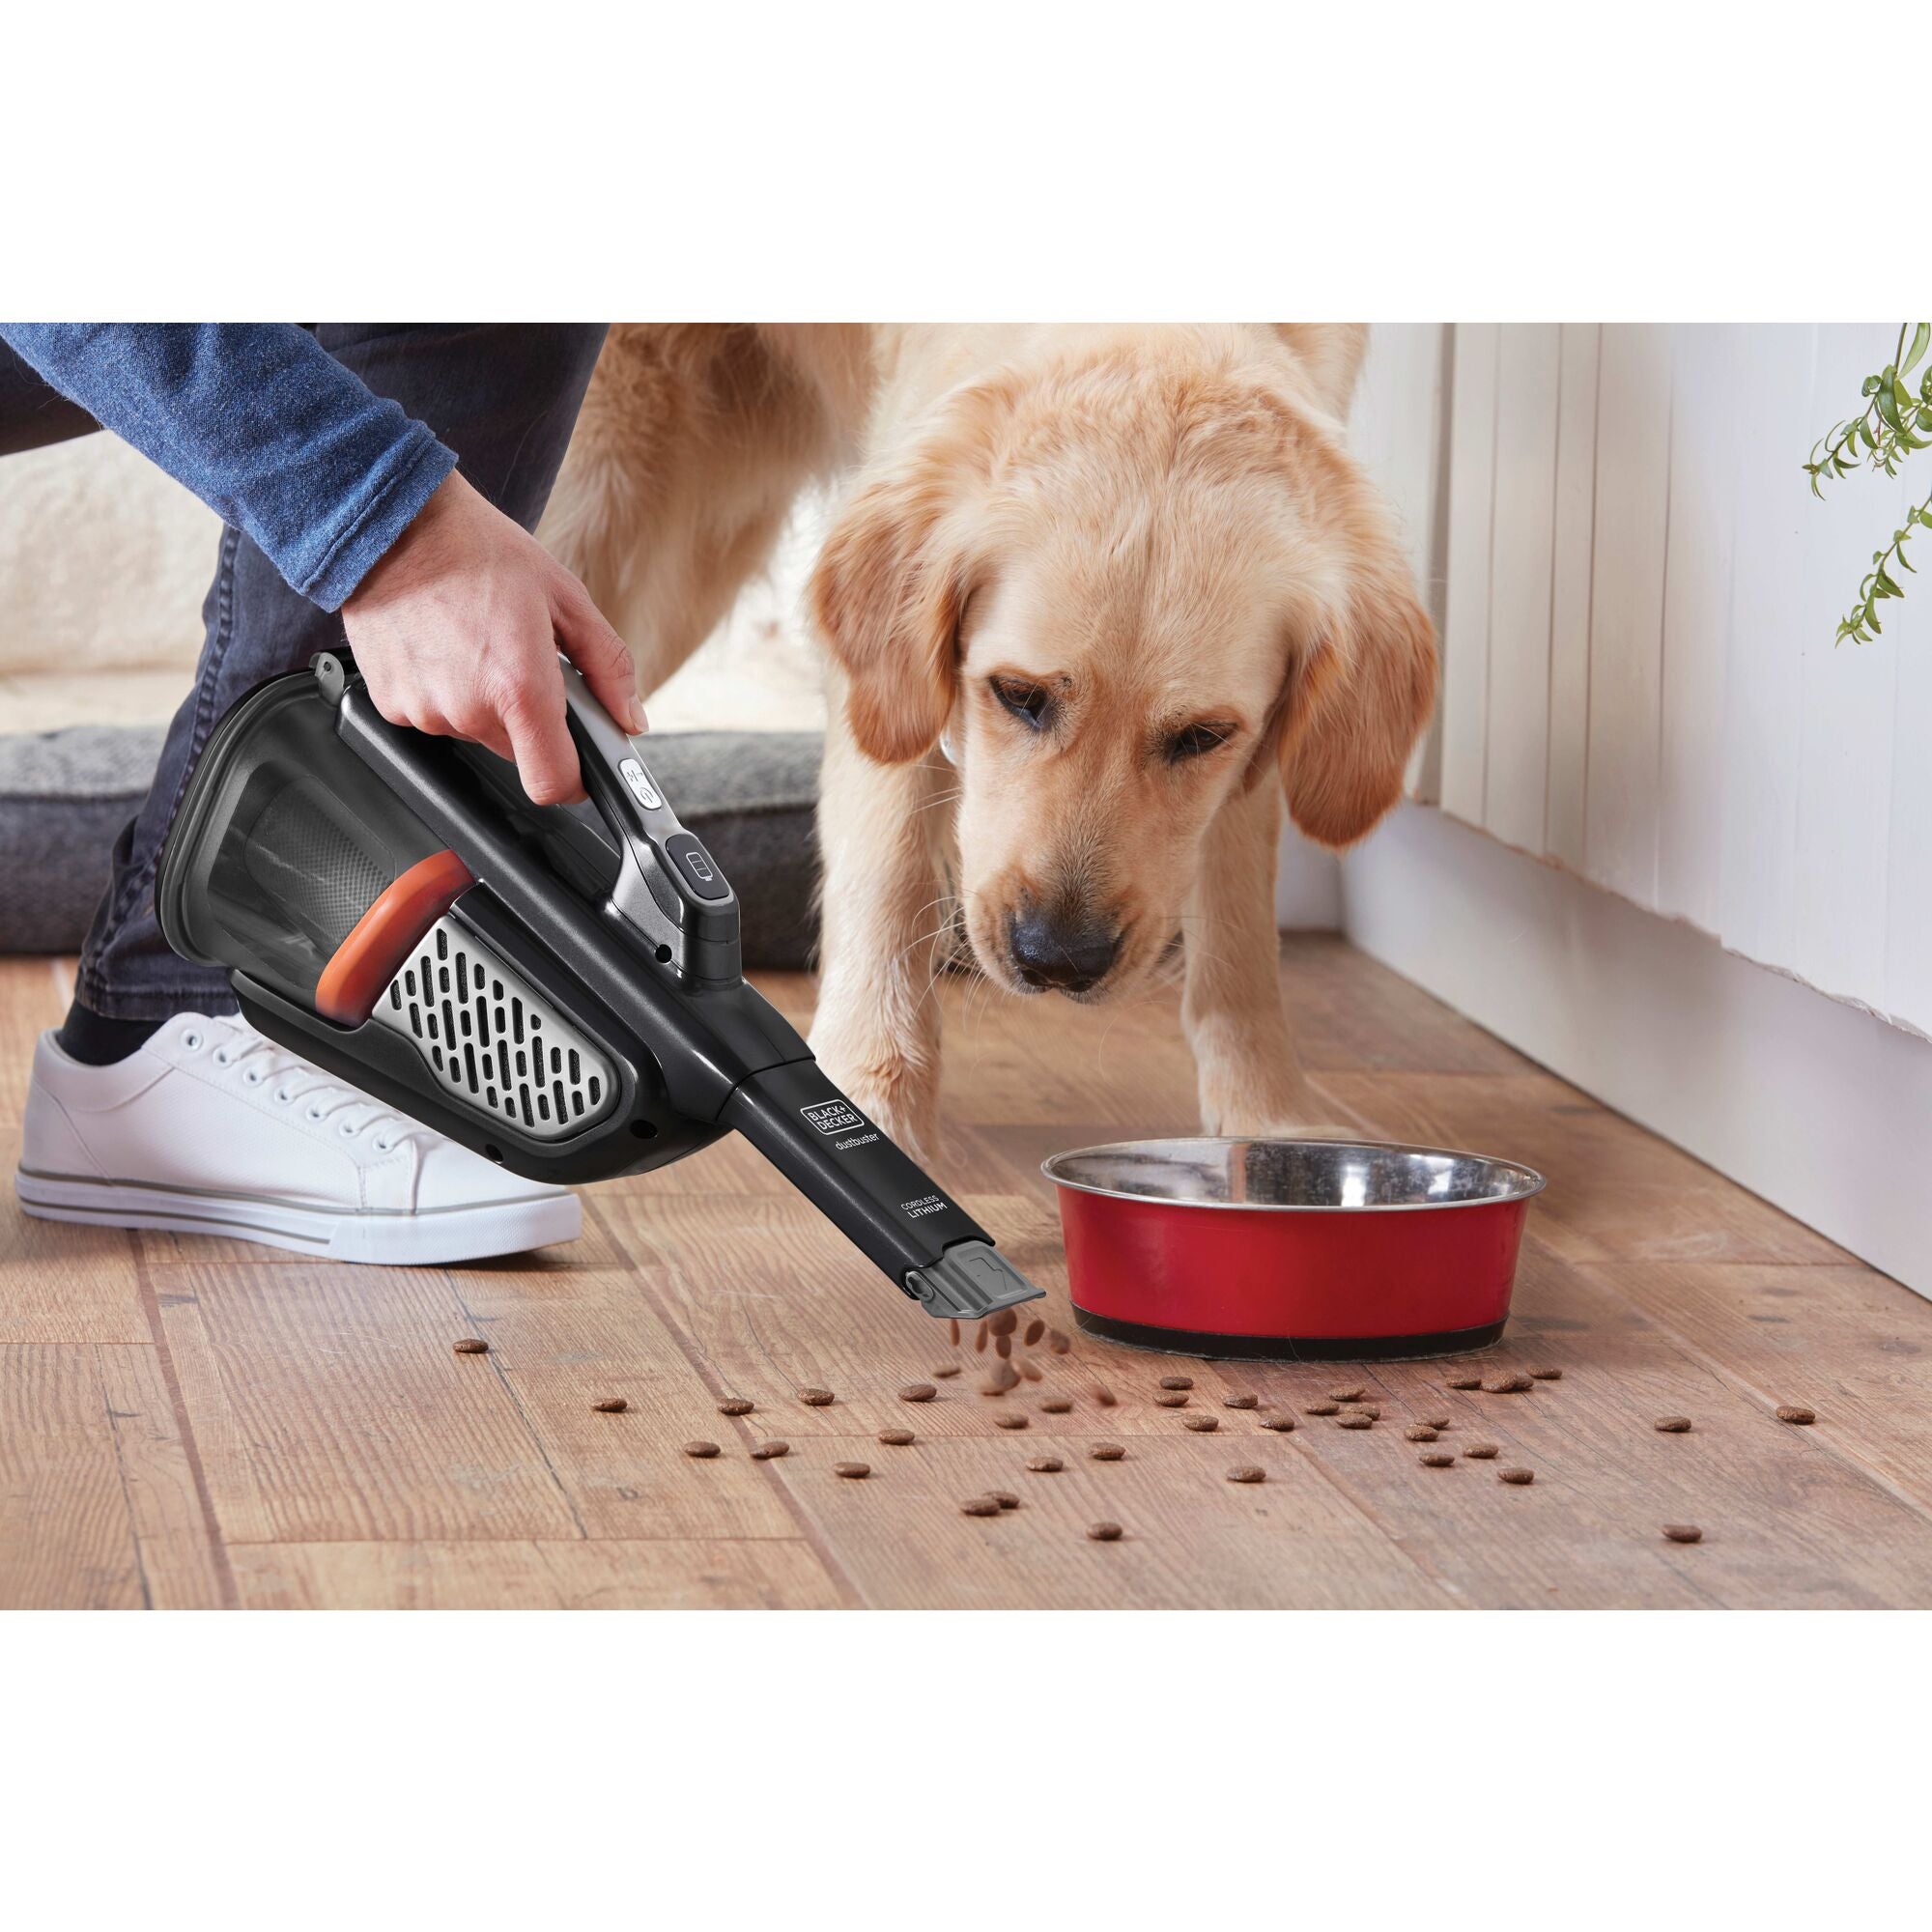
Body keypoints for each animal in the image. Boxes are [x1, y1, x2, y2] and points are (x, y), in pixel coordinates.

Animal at [545, 328, 1437, 1159]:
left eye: (1201, 735)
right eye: (1018, 696)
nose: (1057, 959)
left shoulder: (1252, 754)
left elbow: (1243, 925)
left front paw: (1269, 1124)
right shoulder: (896, 682)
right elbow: (889, 873)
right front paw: (876, 1099)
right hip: (617, 527)